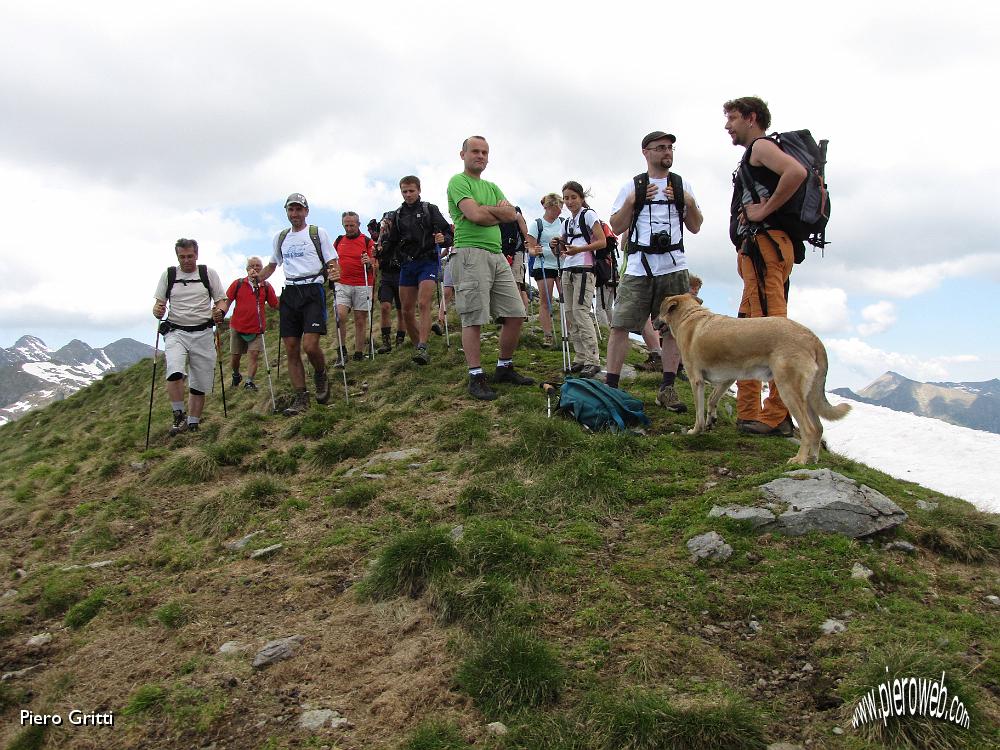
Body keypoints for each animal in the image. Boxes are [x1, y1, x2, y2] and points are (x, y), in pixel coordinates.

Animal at [660, 294, 848, 464]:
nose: (654, 321)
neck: (689, 316)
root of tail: (814, 338)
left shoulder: (696, 380)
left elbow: (699, 412)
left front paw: (695, 431)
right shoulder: (728, 378)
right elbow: (712, 399)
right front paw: (711, 420)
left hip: (788, 391)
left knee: (808, 429)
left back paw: (800, 459)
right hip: (808, 396)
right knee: (818, 427)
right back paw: (813, 458)